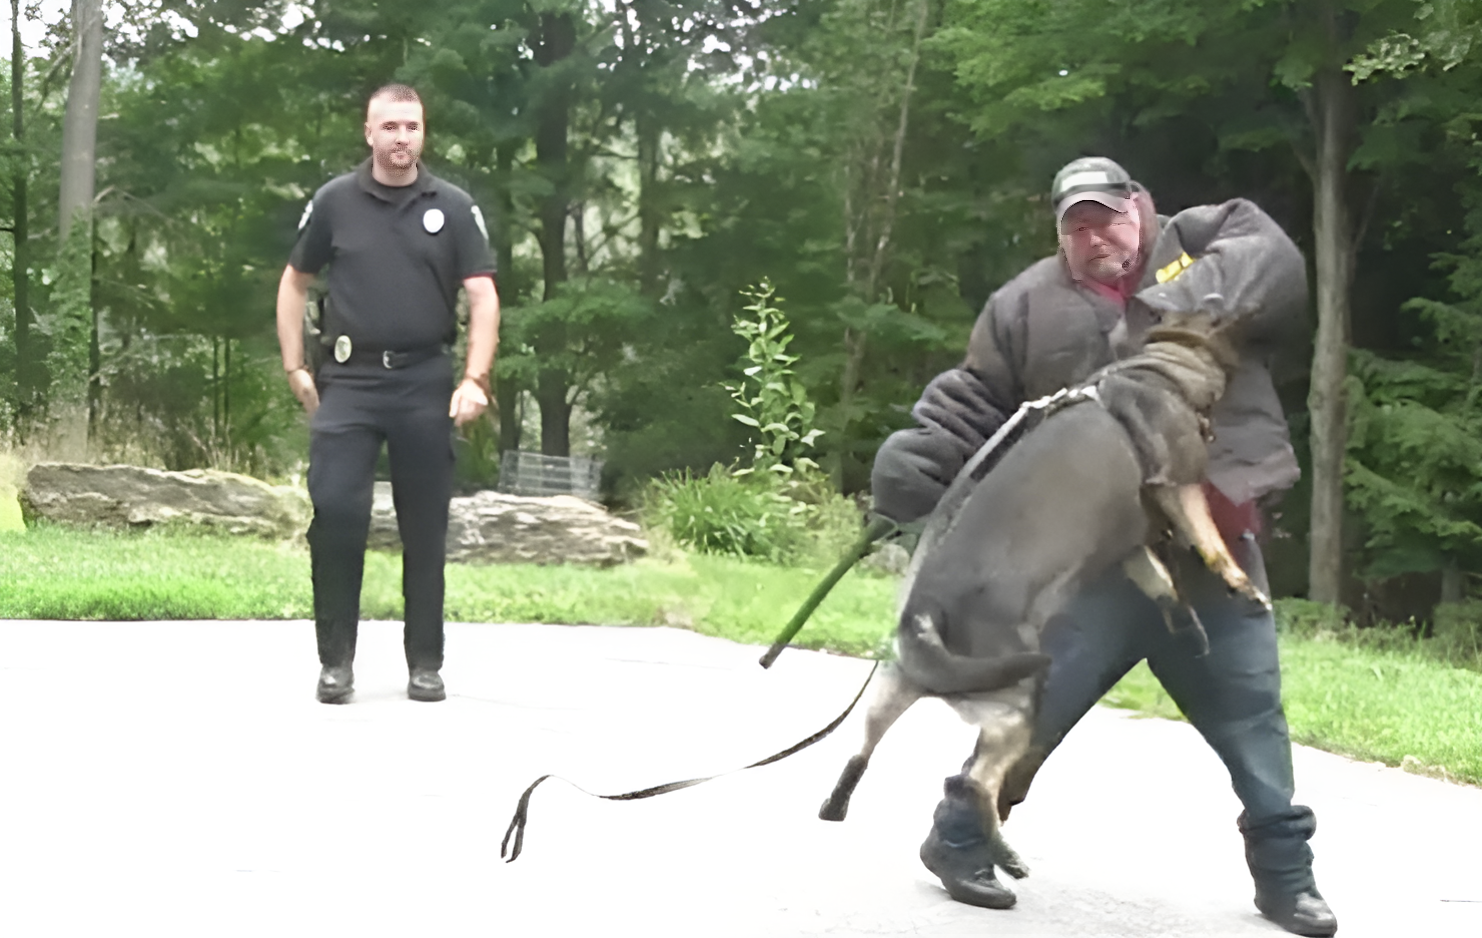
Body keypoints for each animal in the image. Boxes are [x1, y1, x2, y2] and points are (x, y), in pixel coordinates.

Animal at [818, 309, 1268, 877]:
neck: (1158, 371)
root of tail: (928, 615)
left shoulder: (1132, 547)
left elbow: (1163, 586)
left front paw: (1188, 624)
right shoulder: (1179, 487)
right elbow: (1210, 544)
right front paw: (1240, 586)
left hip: (893, 688)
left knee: (862, 746)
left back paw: (836, 805)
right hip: (1019, 709)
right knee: (976, 783)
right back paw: (1003, 857)